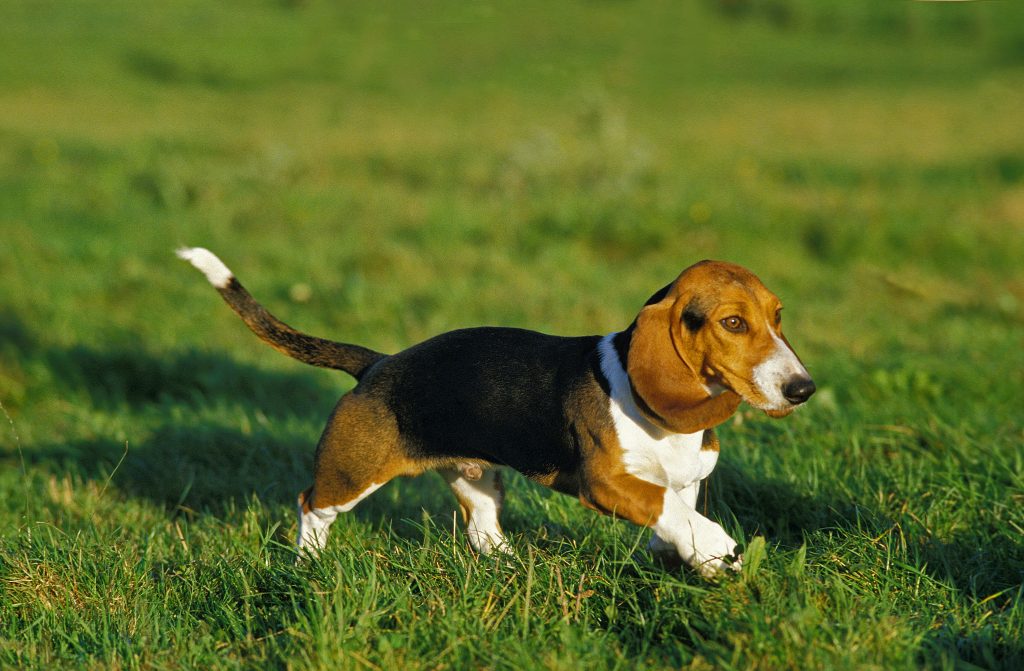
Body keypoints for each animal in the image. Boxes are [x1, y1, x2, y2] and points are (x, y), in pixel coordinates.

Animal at [178, 250, 815, 577]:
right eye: (732, 323)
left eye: (778, 316)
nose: (803, 388)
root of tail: (379, 365)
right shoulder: (607, 483)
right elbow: (670, 510)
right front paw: (715, 546)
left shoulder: (686, 481)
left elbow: (677, 514)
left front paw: (700, 559)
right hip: (351, 472)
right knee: (312, 505)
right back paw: (308, 560)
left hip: (478, 476)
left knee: (483, 532)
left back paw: (515, 561)